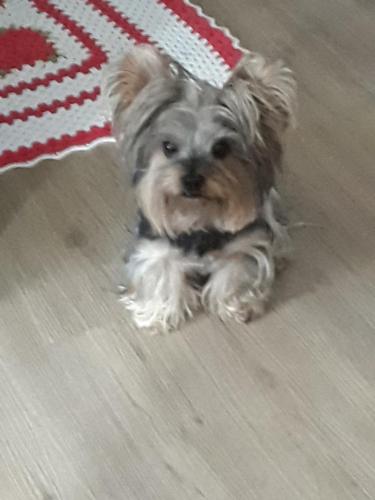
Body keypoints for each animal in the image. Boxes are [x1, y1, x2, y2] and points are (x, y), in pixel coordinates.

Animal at [103, 44, 296, 332]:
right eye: (168, 147)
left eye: (221, 148)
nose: (191, 180)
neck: (197, 216)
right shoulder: (155, 248)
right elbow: (161, 278)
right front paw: (158, 315)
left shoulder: (243, 244)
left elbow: (235, 272)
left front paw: (237, 306)